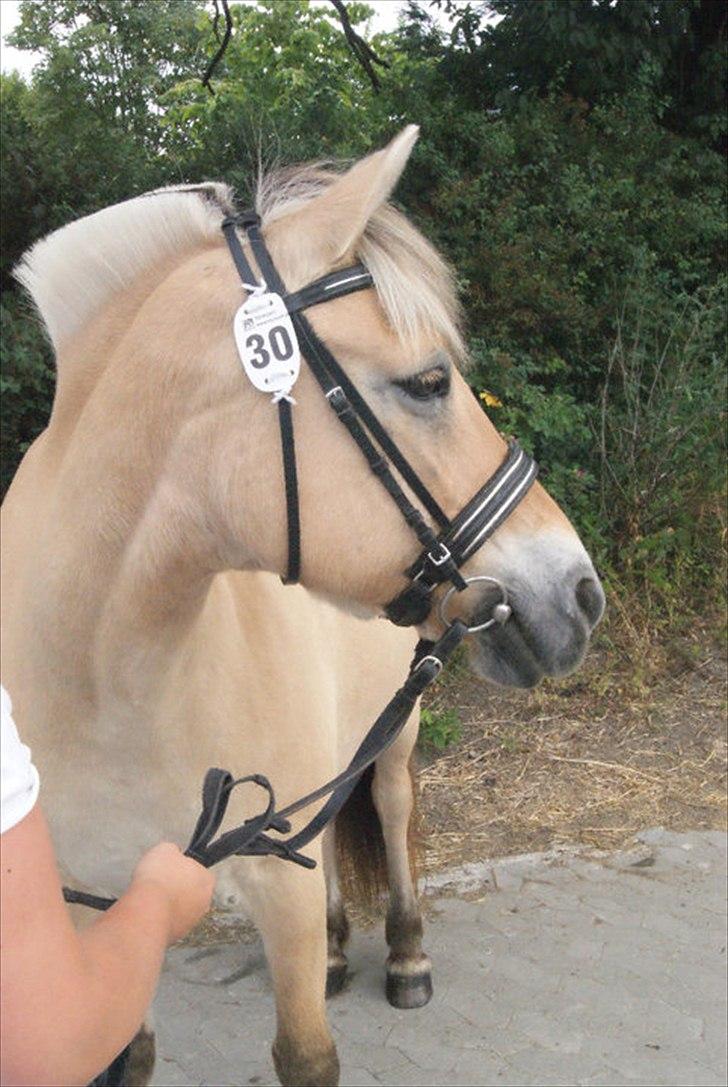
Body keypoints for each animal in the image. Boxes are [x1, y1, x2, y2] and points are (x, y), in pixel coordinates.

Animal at [0, 123, 604, 1082]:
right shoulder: (89, 905)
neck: (102, 675)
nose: (580, 592)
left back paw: (405, 954)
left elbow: (306, 1052)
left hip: (396, 726)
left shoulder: (274, 885)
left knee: (387, 806)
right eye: (429, 382)